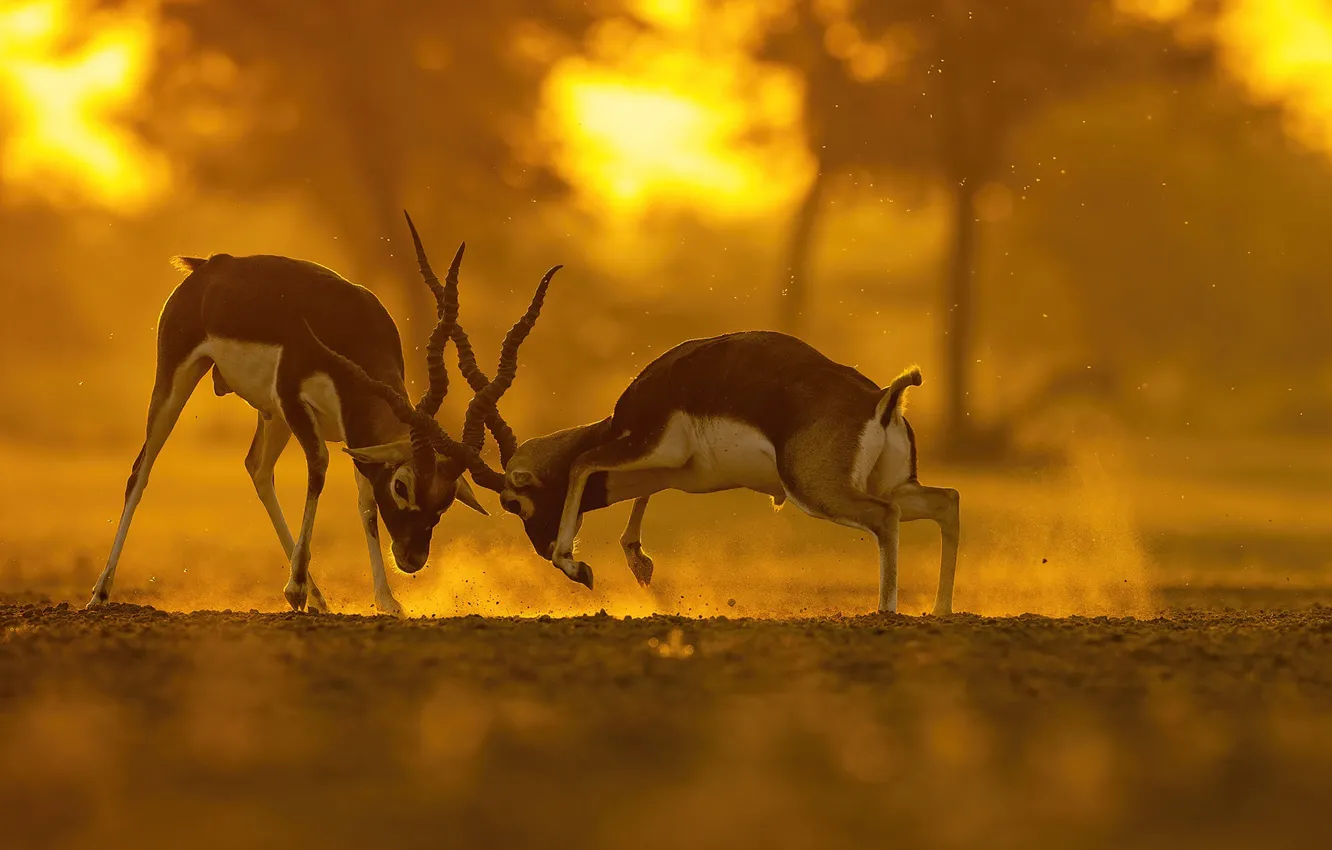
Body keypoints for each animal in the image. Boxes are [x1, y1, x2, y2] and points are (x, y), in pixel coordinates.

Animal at [88, 213, 558, 615]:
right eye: (402, 486)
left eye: (444, 500)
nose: (412, 557)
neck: (352, 331)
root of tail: (208, 267)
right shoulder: (296, 400)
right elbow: (318, 468)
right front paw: (294, 588)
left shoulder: (357, 434)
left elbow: (365, 506)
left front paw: (387, 601)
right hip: (179, 379)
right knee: (141, 470)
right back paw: (100, 593)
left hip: (271, 416)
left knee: (257, 469)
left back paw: (318, 598)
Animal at [490, 332, 960, 615]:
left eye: (513, 502)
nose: (541, 548)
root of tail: (882, 400)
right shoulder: (669, 470)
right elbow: (633, 500)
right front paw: (640, 565)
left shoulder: (649, 446)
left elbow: (581, 463)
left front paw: (574, 565)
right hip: (895, 486)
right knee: (946, 501)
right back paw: (941, 609)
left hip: (818, 491)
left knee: (885, 517)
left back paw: (885, 611)